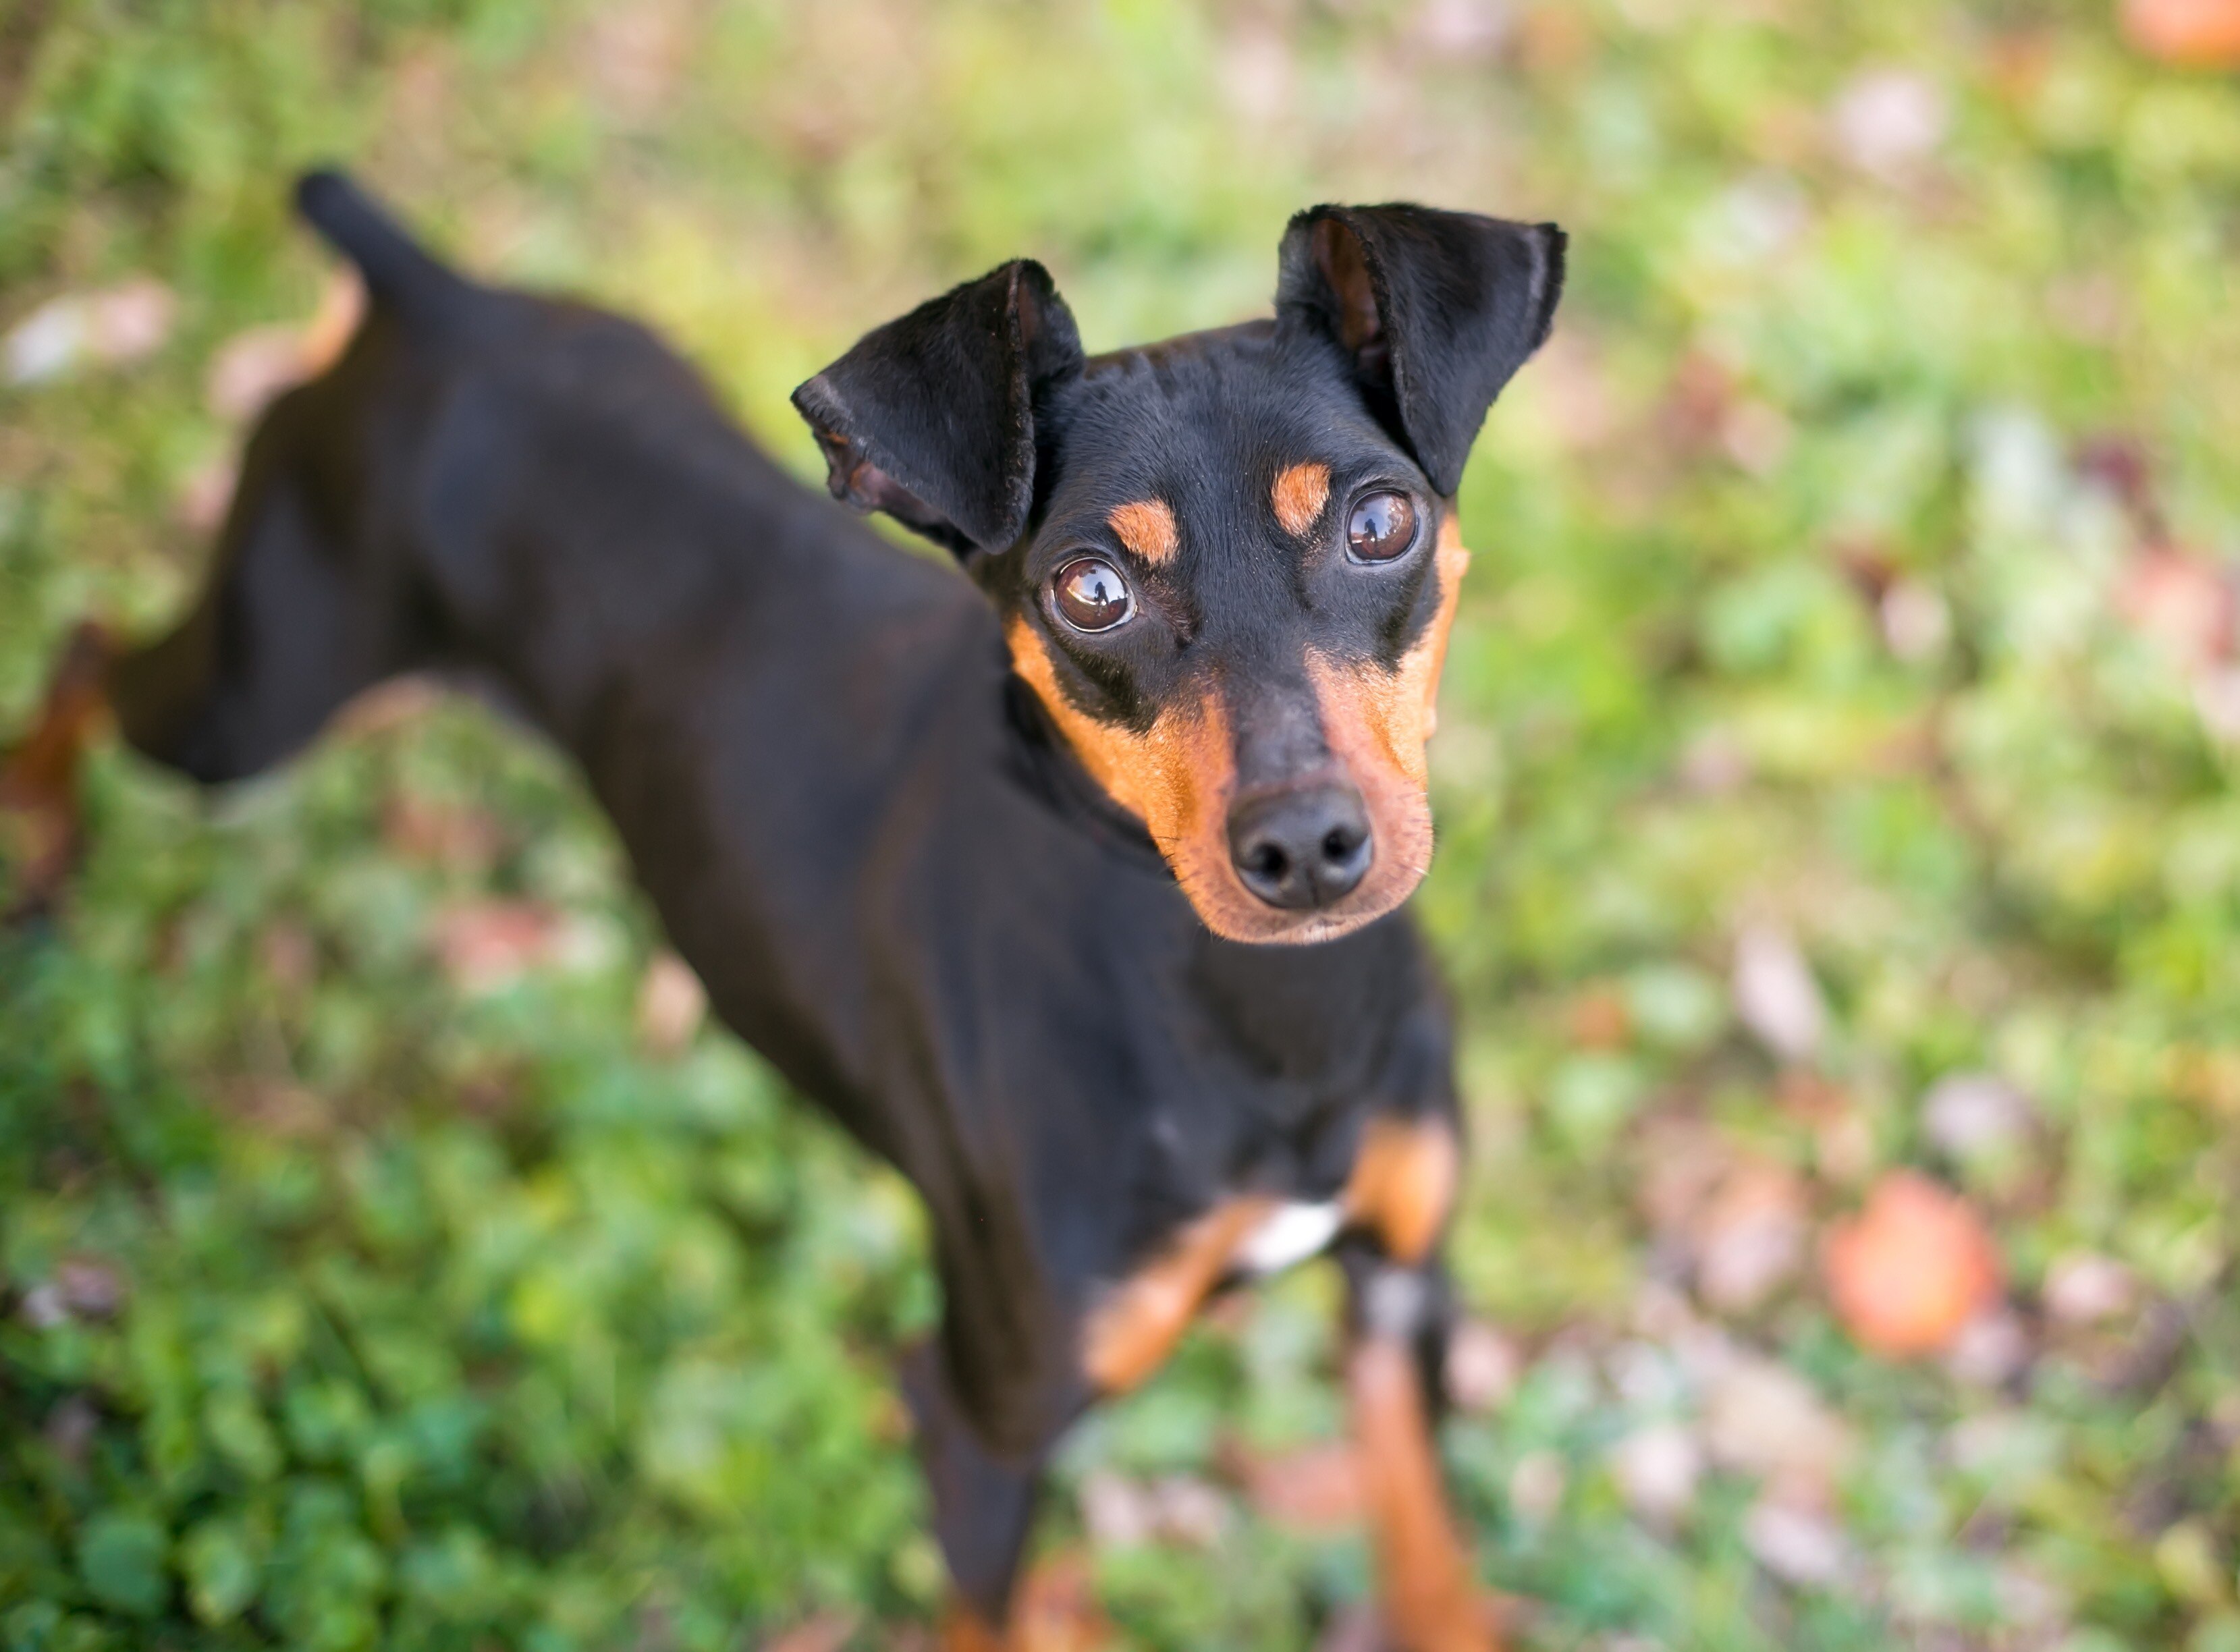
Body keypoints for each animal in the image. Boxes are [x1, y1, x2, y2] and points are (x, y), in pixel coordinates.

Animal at [0, 173, 1559, 1639]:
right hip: (251, 698)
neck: (1262, 1019)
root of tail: (429, 297)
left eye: (1379, 520)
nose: (1303, 846)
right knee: (85, 644)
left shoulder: (1401, 1288)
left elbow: (1429, 1560)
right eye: (1089, 588)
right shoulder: (978, 1423)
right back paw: (37, 838)